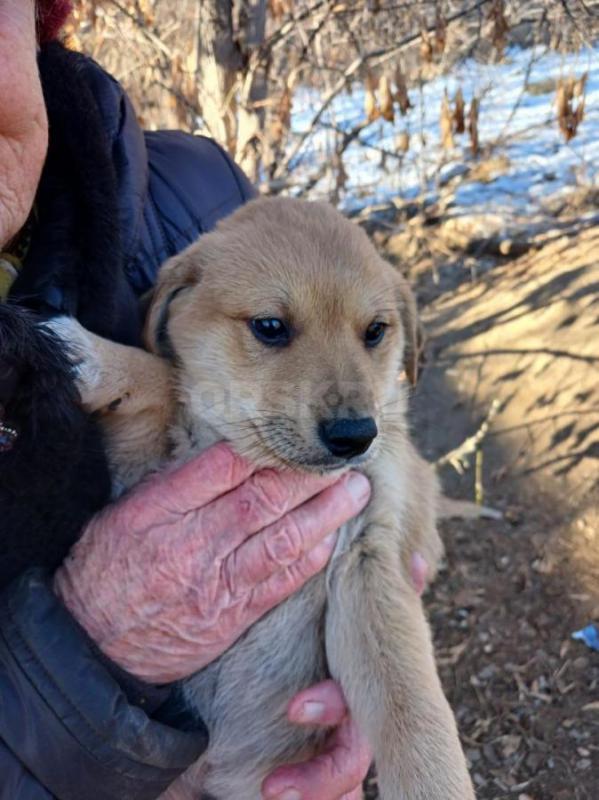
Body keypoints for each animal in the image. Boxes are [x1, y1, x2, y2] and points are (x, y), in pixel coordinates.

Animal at [57, 198, 478, 800]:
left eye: (375, 331)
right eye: (271, 327)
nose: (355, 436)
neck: (264, 461)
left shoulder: (367, 562)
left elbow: (413, 712)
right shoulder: (136, 477)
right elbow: (163, 376)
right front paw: (87, 356)